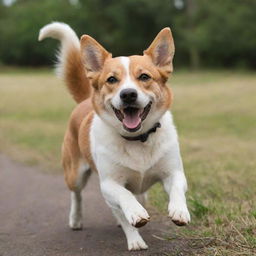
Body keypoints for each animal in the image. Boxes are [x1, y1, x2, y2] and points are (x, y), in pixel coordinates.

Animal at [38, 22, 190, 250]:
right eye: (111, 79)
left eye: (144, 77)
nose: (128, 94)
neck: (138, 139)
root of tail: (85, 100)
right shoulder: (109, 184)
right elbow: (125, 200)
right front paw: (135, 231)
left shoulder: (173, 172)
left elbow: (177, 189)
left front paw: (179, 210)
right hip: (75, 174)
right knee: (77, 195)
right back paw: (76, 219)